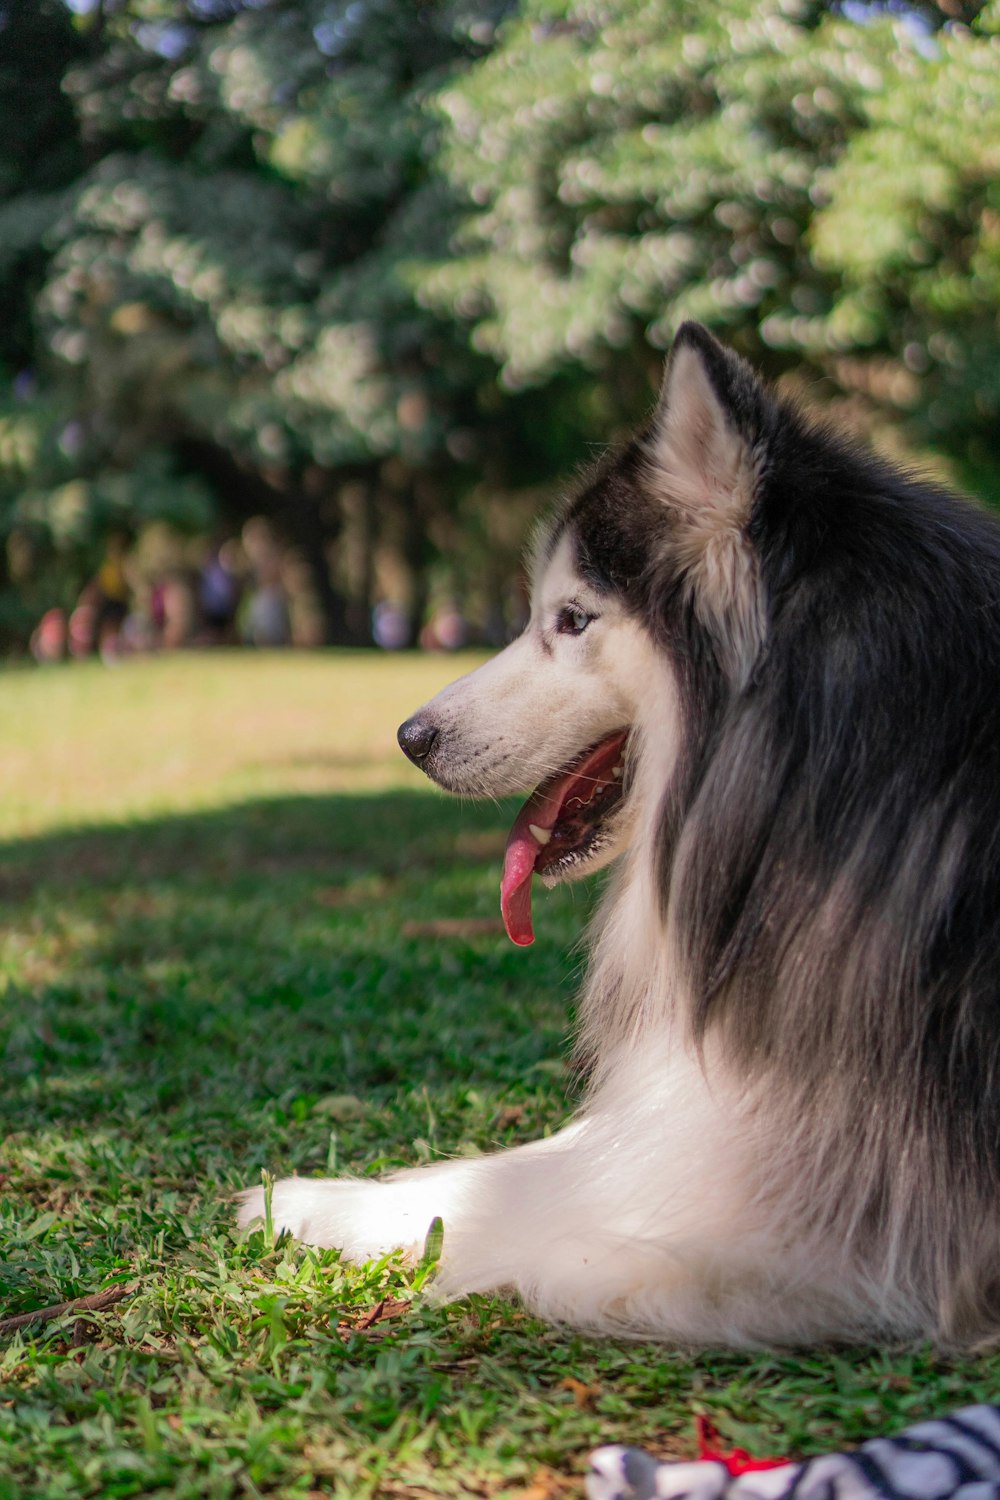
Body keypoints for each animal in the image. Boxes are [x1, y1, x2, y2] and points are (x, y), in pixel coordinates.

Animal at [236, 325, 1000, 1350]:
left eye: (571, 618)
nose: (410, 738)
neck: (854, 755)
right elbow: (527, 1166)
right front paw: (314, 1198)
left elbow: (564, 1229)